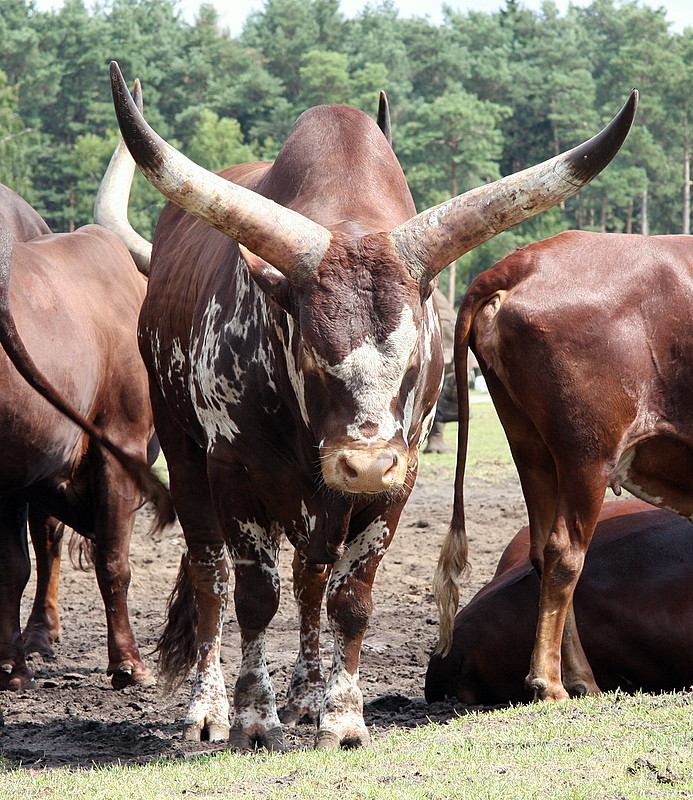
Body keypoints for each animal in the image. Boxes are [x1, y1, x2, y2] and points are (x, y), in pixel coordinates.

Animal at [100, 61, 636, 752]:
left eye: (416, 358)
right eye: (310, 352)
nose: (364, 464)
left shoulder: (396, 483)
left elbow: (349, 598)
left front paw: (343, 717)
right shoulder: (236, 474)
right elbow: (253, 595)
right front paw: (253, 719)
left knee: (311, 576)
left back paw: (306, 696)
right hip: (185, 450)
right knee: (210, 573)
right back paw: (209, 707)